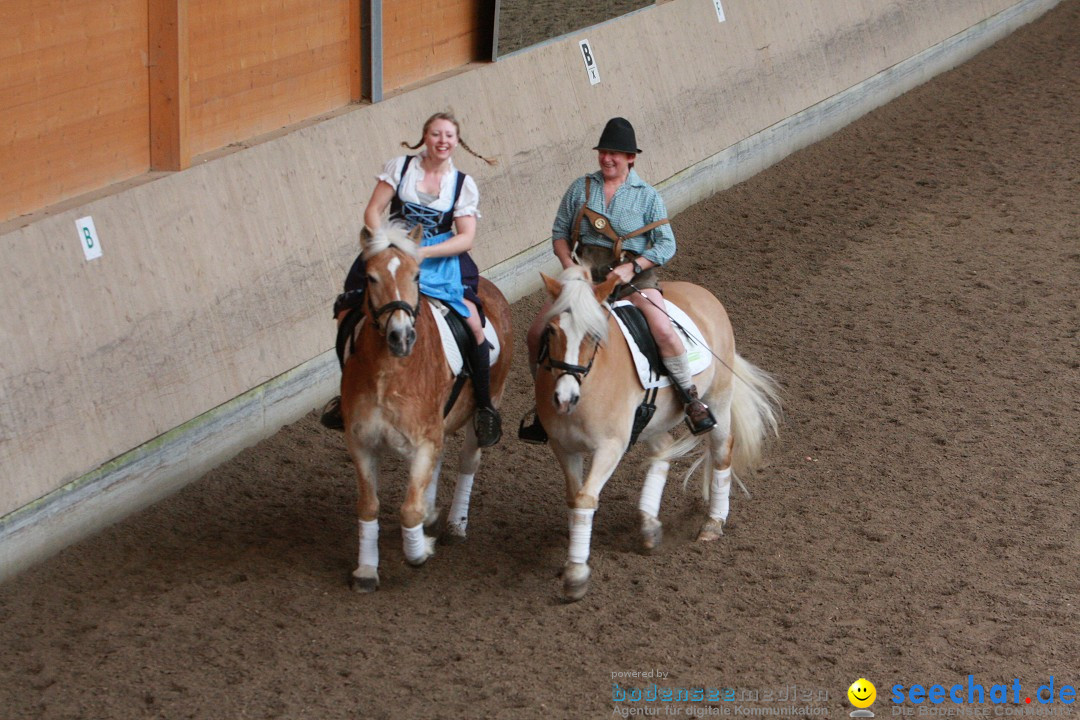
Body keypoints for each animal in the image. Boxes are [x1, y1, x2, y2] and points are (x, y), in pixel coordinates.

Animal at [345, 225, 514, 591]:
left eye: (417, 275)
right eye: (371, 278)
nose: (400, 337)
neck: (388, 375)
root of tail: (490, 287)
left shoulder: (424, 439)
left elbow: (409, 509)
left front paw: (419, 551)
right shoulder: (361, 443)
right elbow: (368, 506)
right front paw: (365, 570)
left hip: (486, 403)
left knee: (467, 460)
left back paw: (454, 525)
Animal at [531, 267, 777, 600]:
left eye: (594, 334)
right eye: (552, 330)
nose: (564, 398)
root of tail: (702, 293)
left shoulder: (610, 447)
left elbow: (584, 499)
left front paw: (576, 575)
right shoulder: (563, 446)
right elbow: (574, 498)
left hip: (719, 397)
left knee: (722, 449)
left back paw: (713, 523)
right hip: (653, 420)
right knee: (663, 448)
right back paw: (649, 525)